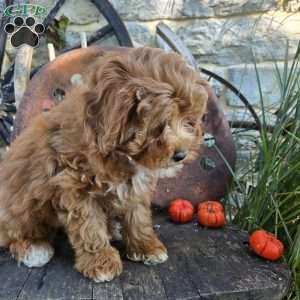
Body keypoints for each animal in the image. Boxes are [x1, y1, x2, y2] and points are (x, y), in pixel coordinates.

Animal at [0, 47, 207, 282]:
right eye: (159, 123)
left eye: (188, 119)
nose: (181, 154)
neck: (120, 151)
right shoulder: (74, 186)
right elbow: (89, 228)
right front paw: (102, 263)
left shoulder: (136, 187)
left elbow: (138, 216)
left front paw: (146, 246)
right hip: (20, 205)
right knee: (14, 233)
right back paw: (33, 249)